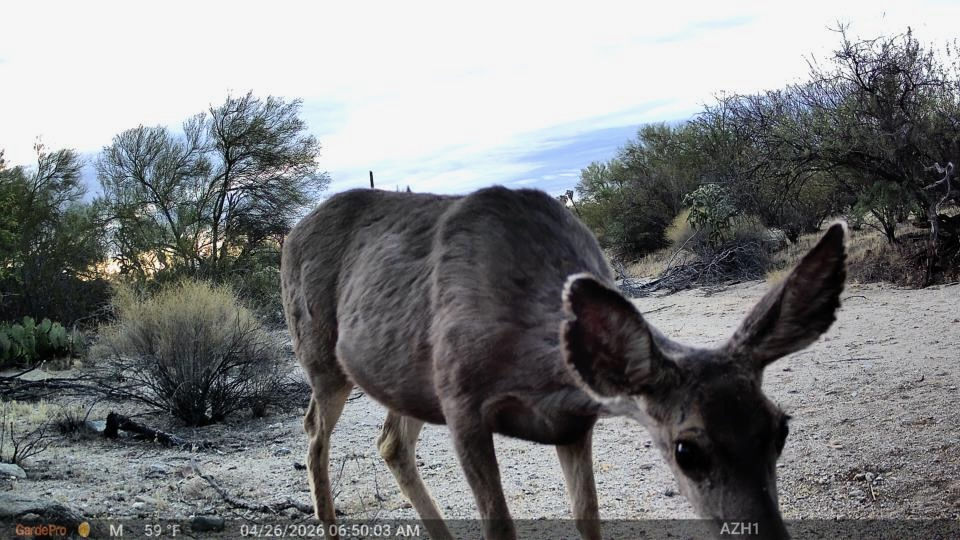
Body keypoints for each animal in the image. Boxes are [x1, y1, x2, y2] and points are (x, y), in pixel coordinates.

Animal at [281, 186, 846, 540]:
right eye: (688, 450)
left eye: (780, 430)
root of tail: (290, 233)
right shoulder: (462, 402)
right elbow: (500, 525)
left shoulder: (574, 423)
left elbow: (588, 516)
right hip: (321, 356)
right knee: (313, 433)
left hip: (406, 378)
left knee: (390, 442)